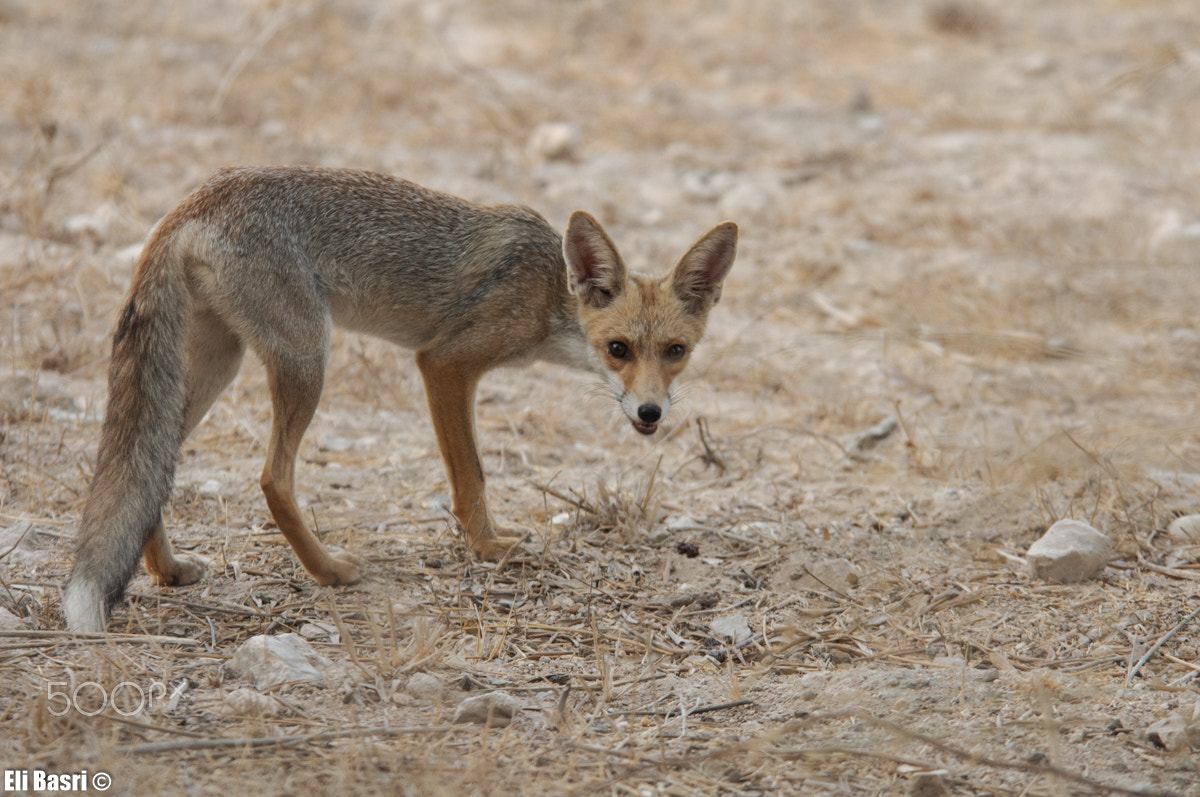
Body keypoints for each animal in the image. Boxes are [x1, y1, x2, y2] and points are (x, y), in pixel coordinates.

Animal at [62, 166, 738, 633]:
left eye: (675, 352)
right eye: (618, 349)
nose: (650, 413)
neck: (548, 293)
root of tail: (198, 196)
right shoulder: (445, 364)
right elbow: (472, 478)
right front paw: (490, 550)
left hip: (218, 365)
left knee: (154, 465)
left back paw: (167, 571)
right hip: (308, 359)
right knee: (272, 478)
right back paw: (329, 572)